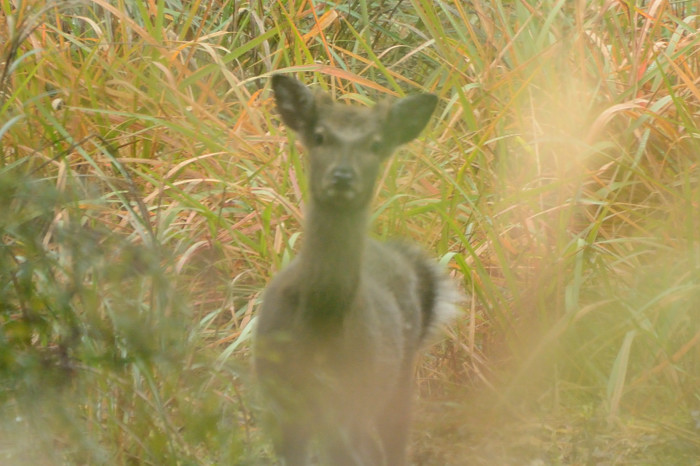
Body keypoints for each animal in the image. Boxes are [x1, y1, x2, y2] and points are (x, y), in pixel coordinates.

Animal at [254, 74, 456, 464]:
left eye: (376, 143)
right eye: (319, 136)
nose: (343, 176)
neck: (320, 323)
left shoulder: (350, 403)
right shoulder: (280, 401)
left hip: (396, 379)